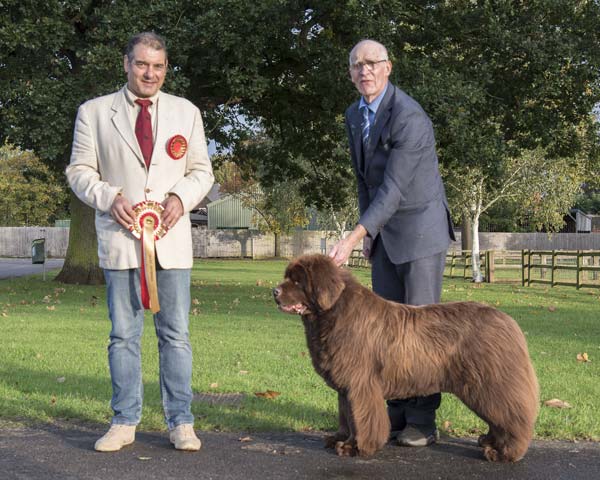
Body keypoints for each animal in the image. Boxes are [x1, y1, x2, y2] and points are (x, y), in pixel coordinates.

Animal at [272, 255, 540, 462]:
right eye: (287, 277)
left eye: (297, 280)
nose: (274, 292)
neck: (333, 312)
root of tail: (509, 322)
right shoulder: (346, 388)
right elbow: (346, 416)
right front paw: (339, 439)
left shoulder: (361, 384)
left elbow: (361, 418)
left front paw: (355, 448)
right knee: (501, 417)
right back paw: (488, 441)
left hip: (489, 383)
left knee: (512, 416)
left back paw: (504, 452)